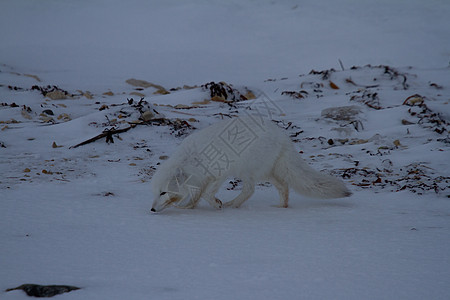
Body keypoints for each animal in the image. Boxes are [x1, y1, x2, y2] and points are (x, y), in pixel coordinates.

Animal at [151, 116, 352, 212]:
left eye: (163, 192)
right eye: (156, 192)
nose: (152, 209)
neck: (190, 161)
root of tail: (283, 137)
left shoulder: (218, 174)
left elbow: (206, 194)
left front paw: (216, 204)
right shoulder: (201, 180)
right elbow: (197, 196)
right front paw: (189, 207)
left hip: (246, 169)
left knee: (250, 189)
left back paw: (232, 205)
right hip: (267, 172)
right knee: (283, 186)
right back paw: (281, 207)